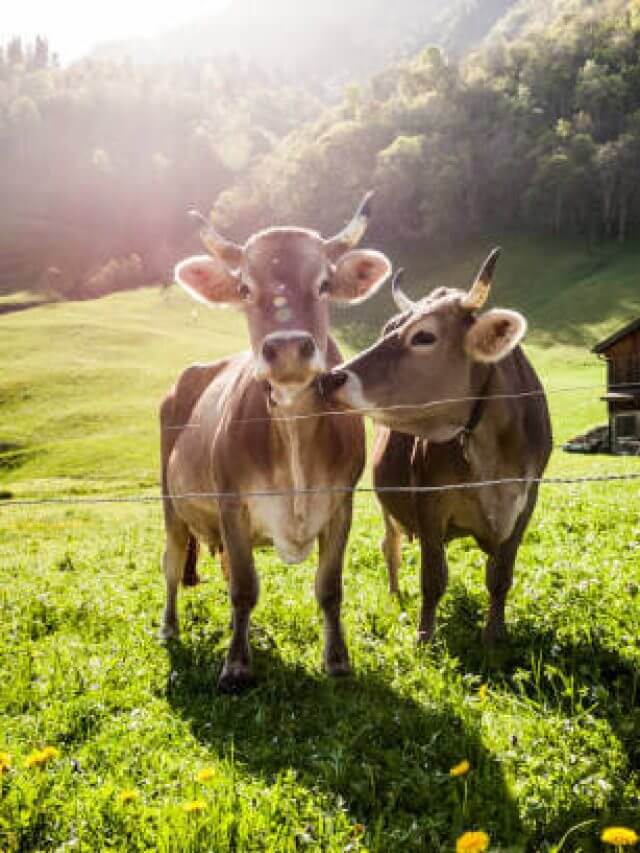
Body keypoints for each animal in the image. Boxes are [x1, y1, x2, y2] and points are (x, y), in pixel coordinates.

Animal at [160, 195, 392, 691]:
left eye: (324, 283)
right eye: (245, 288)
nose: (286, 348)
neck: (293, 427)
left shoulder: (341, 504)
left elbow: (329, 587)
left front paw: (337, 660)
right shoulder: (231, 503)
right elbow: (244, 588)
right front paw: (235, 666)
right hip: (171, 503)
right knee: (172, 562)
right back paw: (169, 627)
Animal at [319, 249, 552, 645]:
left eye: (424, 336)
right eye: (390, 328)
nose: (330, 378)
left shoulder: (526, 501)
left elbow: (500, 577)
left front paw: (495, 635)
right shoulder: (429, 500)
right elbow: (432, 579)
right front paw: (424, 638)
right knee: (390, 546)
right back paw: (395, 595)